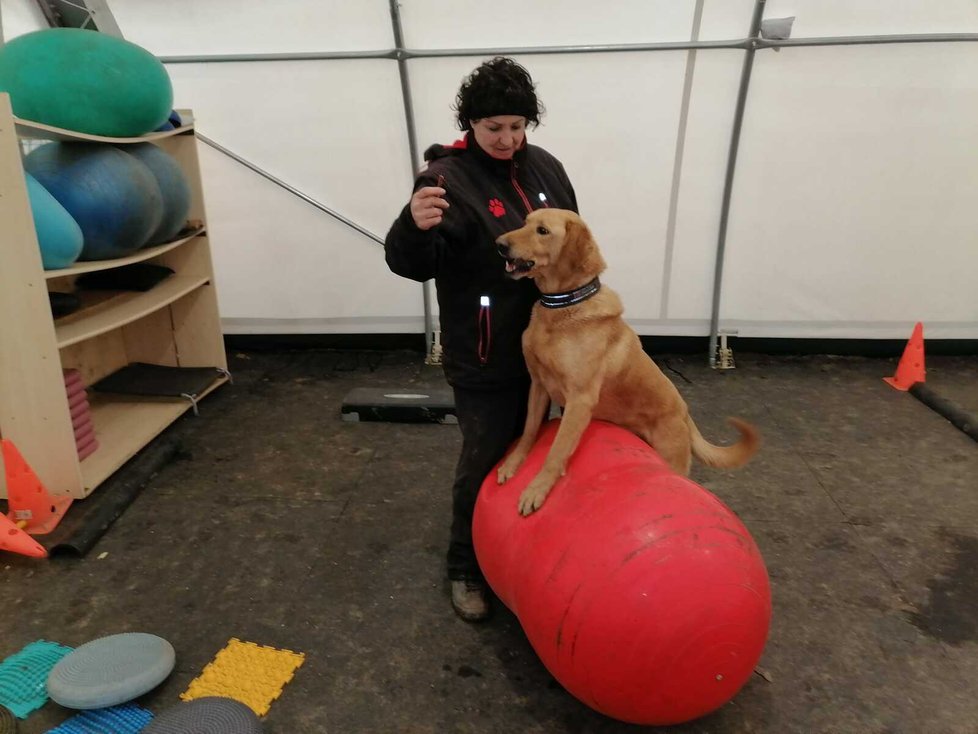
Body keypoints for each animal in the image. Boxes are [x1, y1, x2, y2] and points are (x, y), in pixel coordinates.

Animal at [492, 208, 760, 516]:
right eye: (525, 222)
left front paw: (537, 489)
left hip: (671, 458)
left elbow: (556, 451)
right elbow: (528, 432)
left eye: (543, 231)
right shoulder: (538, 385)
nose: (499, 244)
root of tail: (684, 412)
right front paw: (513, 464)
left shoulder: (580, 400)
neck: (563, 306)